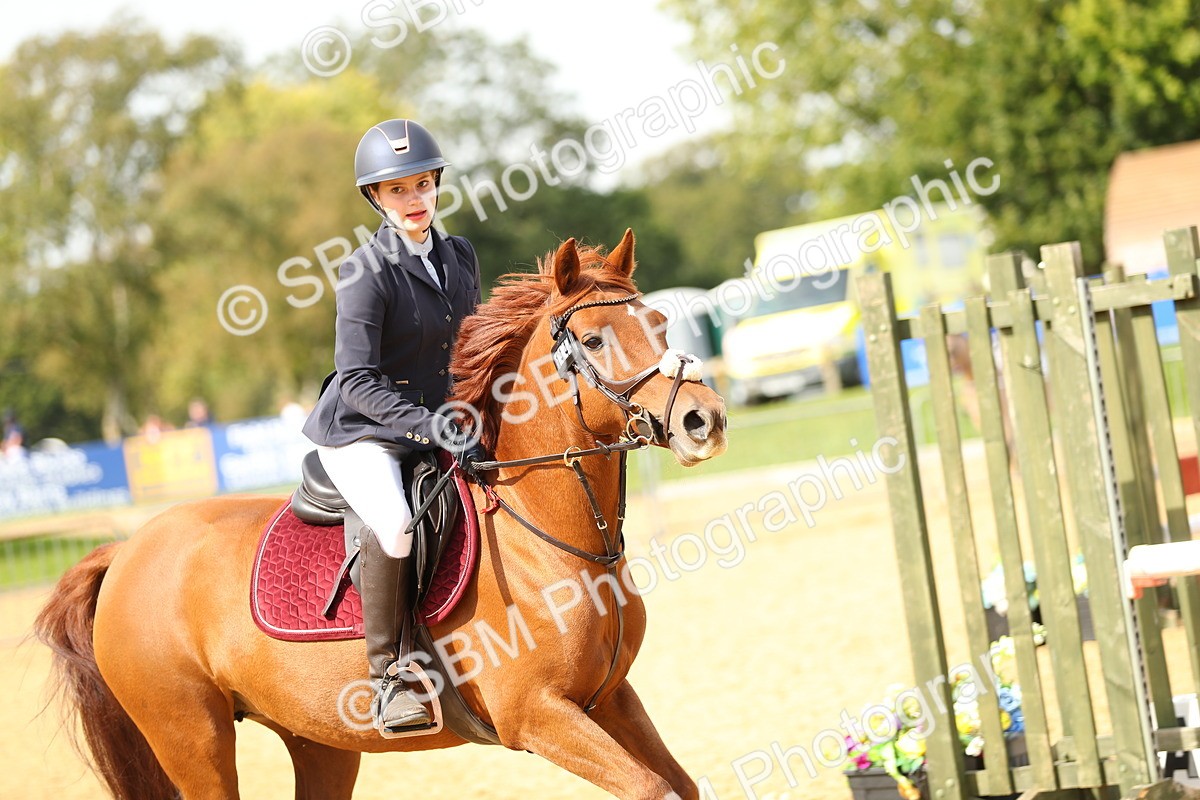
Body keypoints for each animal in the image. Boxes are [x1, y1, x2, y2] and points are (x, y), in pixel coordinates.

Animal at [35, 229, 728, 800]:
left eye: (660, 323)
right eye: (591, 340)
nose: (705, 420)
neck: (548, 539)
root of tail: (127, 549)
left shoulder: (609, 698)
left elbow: (682, 785)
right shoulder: (537, 714)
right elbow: (653, 790)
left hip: (318, 739)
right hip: (191, 737)